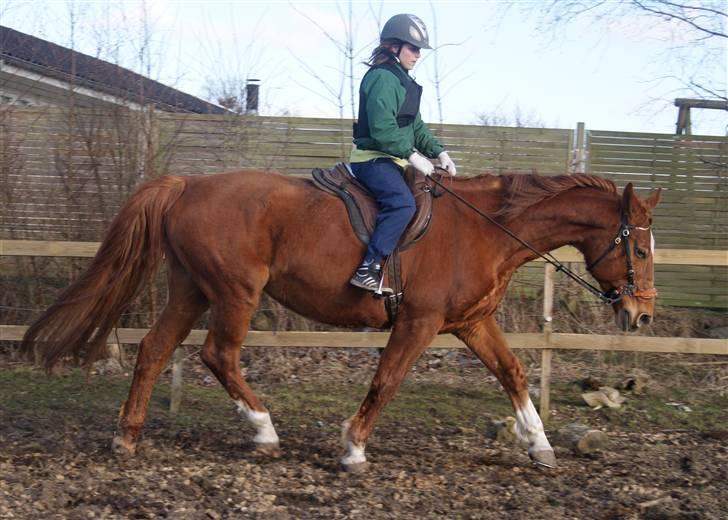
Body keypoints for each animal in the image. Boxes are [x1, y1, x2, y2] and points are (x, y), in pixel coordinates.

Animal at [22, 169, 660, 470]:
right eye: (641, 248)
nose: (643, 314)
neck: (486, 230)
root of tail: (187, 184)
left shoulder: (472, 324)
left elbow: (515, 374)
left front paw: (540, 445)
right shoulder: (419, 323)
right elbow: (387, 381)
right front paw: (352, 449)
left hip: (191, 289)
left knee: (155, 349)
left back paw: (127, 436)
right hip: (234, 292)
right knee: (217, 354)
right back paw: (263, 430)